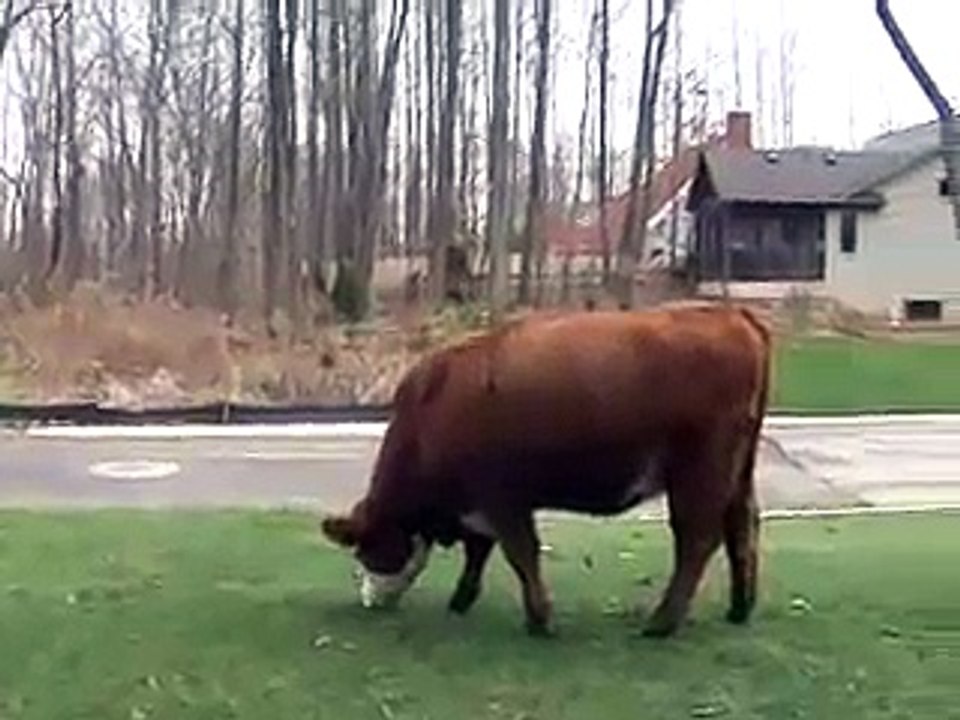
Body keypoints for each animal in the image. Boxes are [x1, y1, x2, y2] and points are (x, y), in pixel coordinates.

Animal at [320, 301, 772, 638]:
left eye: (366, 548)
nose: (369, 600)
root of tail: (729, 314)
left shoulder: (502, 497)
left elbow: (520, 554)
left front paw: (540, 619)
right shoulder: (483, 504)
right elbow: (479, 550)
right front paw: (462, 599)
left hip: (700, 471)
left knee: (697, 540)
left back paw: (661, 623)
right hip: (738, 470)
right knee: (742, 527)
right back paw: (740, 608)